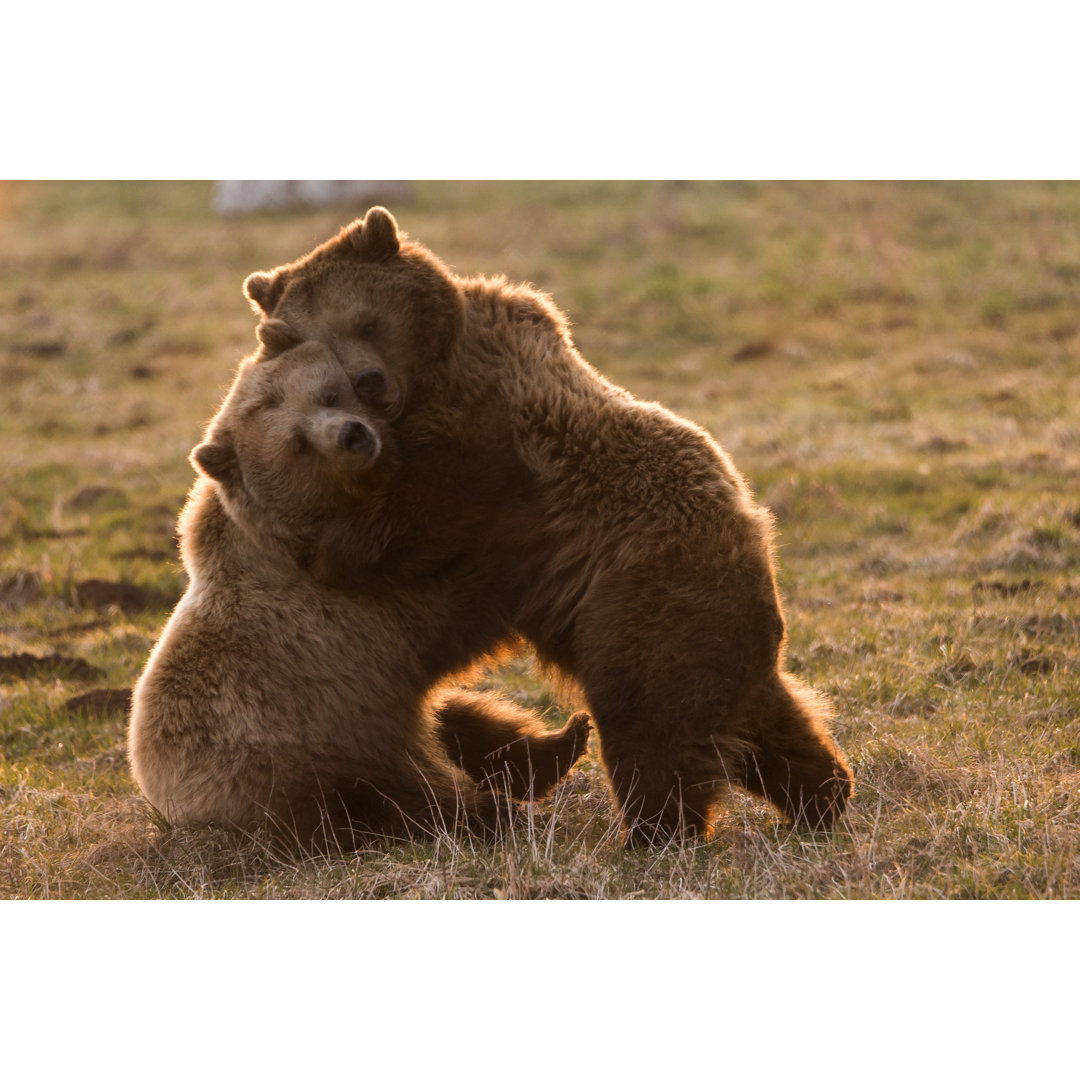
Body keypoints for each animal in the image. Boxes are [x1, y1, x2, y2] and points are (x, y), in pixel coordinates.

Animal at [130, 336, 596, 851]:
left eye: (330, 394)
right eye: (297, 443)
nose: (351, 434)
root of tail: (164, 799)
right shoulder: (349, 606)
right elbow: (464, 585)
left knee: (463, 722)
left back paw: (564, 740)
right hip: (302, 758)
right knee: (401, 796)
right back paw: (493, 811)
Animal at [243, 204, 851, 842]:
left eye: (364, 320)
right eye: (309, 339)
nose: (370, 382)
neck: (434, 370)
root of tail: (759, 556)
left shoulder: (493, 444)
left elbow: (422, 515)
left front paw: (328, 548)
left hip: (645, 604)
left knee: (651, 727)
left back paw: (652, 831)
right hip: (715, 639)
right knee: (771, 726)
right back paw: (823, 794)